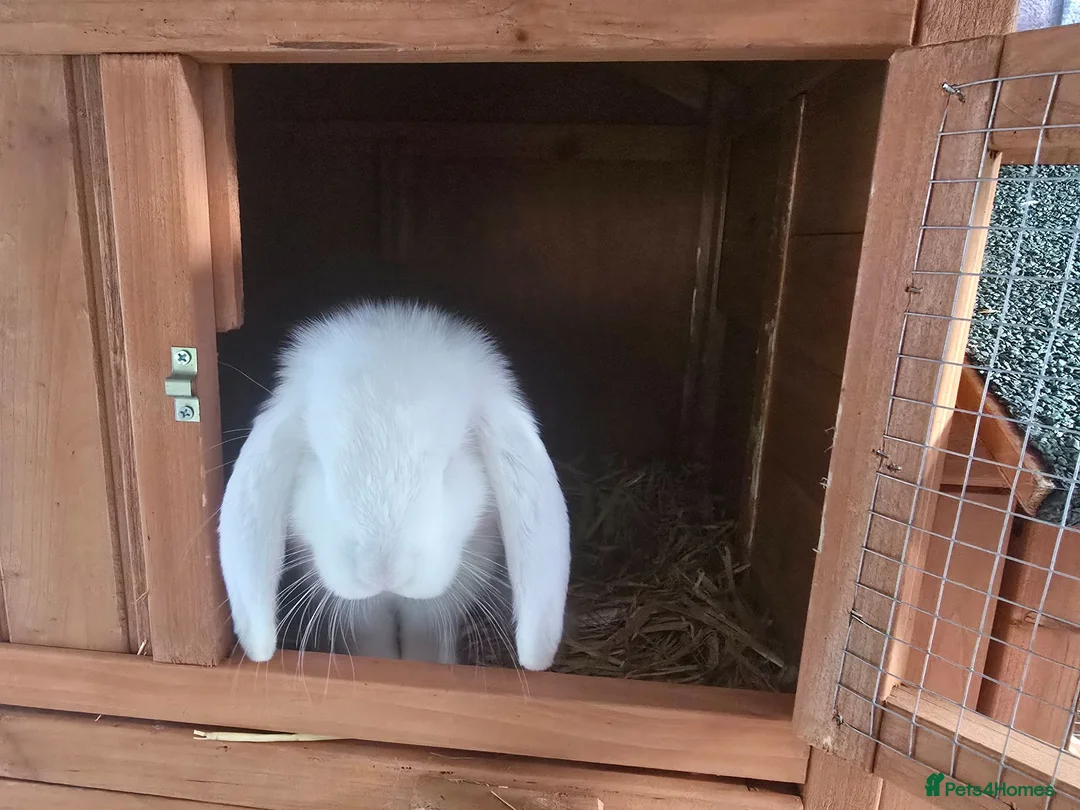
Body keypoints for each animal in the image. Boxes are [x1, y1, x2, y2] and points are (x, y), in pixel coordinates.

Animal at [217, 300, 571, 671]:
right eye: (320, 461)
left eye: (449, 464)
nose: (383, 571)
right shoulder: (362, 613)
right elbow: (374, 646)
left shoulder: (439, 605)